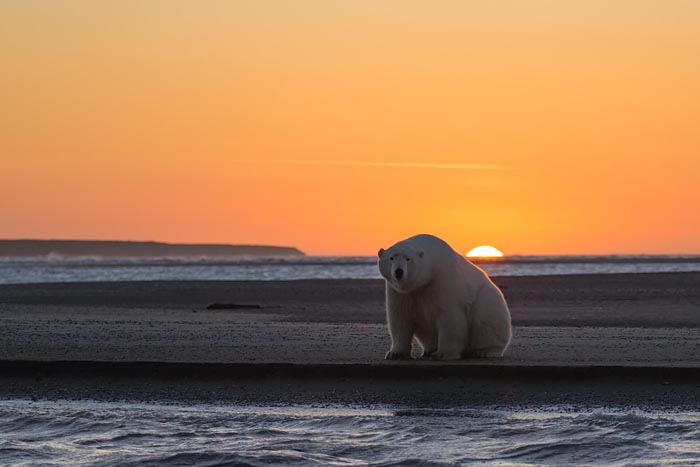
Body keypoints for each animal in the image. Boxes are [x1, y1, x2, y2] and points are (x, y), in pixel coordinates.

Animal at [377, 234, 512, 360]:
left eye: (408, 259)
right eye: (391, 258)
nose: (398, 272)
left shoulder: (443, 279)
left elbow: (449, 317)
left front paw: (442, 354)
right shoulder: (399, 291)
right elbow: (400, 317)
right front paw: (394, 354)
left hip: (488, 298)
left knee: (487, 319)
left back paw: (484, 351)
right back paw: (428, 350)